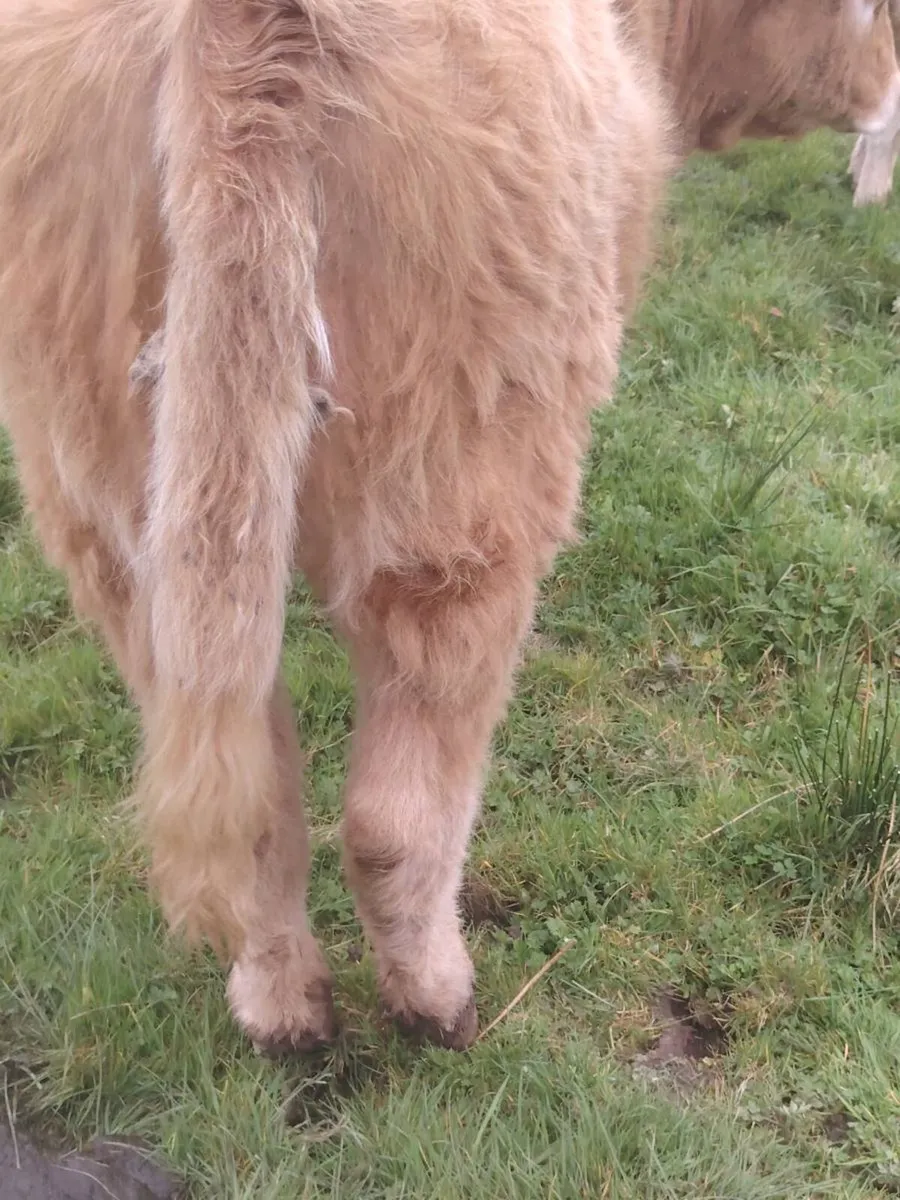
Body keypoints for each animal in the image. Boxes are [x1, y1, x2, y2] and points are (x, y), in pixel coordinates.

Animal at [0, 0, 896, 1059]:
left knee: (249, 788)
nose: (889, 101)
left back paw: (282, 1009)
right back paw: (437, 999)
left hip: (111, 509)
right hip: (463, 486)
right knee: (397, 804)